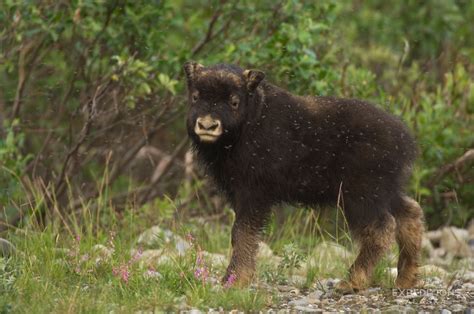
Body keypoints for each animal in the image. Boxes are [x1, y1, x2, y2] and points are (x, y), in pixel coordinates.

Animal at [183, 61, 424, 292]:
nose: (207, 125)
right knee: (410, 213)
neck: (250, 120)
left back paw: (351, 282)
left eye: (234, 101)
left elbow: (242, 233)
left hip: (361, 197)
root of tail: (405, 140)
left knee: (381, 228)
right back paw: (405, 279)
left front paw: (235, 280)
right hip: (384, 193)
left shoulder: (252, 195)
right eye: (195, 96)